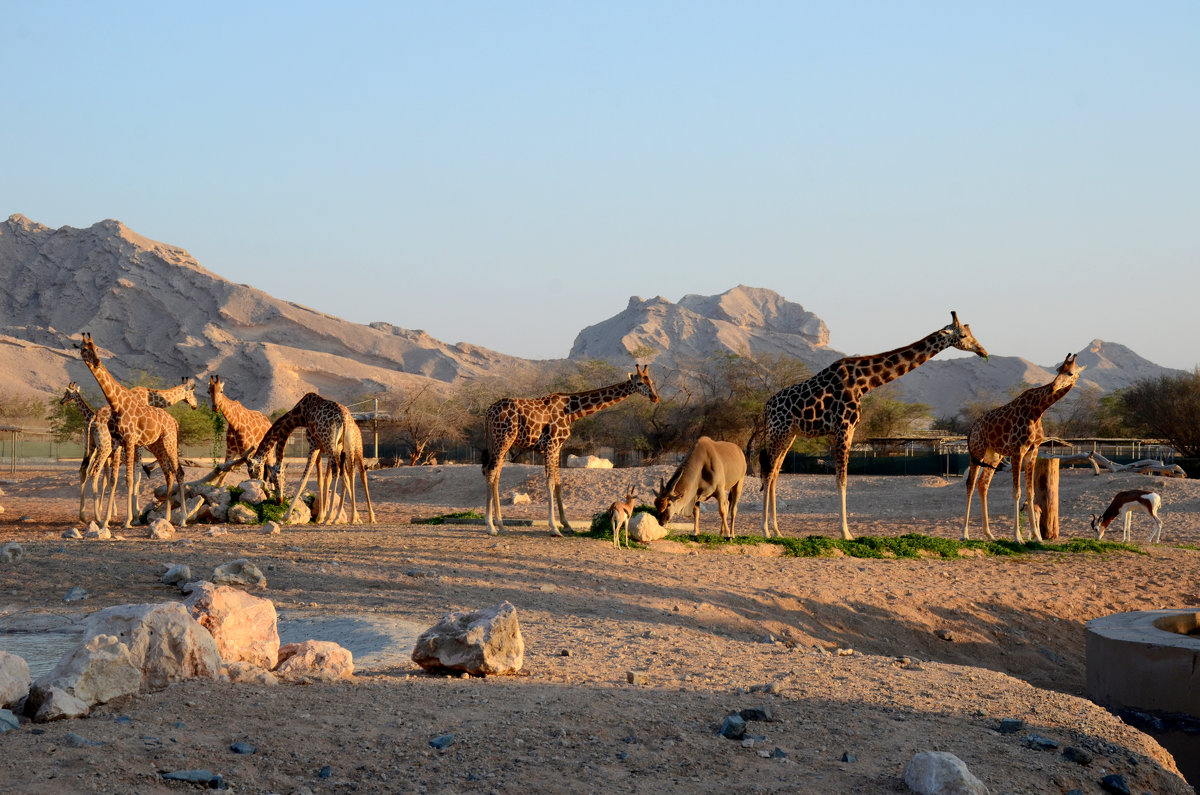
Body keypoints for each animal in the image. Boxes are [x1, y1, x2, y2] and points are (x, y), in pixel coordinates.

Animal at [73, 333, 186, 528]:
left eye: (96, 347)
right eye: (84, 348)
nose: (97, 361)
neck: (116, 404)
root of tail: (174, 421)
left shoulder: (131, 441)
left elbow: (130, 479)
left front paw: (127, 520)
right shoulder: (118, 443)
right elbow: (114, 480)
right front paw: (106, 520)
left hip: (169, 441)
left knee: (179, 472)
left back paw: (184, 519)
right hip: (158, 444)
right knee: (169, 473)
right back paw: (167, 518)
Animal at [482, 365, 662, 535]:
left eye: (651, 382)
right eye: (640, 383)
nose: (655, 397)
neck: (571, 411)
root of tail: (488, 412)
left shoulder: (558, 446)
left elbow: (558, 483)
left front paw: (567, 525)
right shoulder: (551, 444)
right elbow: (550, 482)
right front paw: (554, 527)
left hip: (499, 442)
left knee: (495, 474)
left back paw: (501, 525)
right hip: (503, 439)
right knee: (491, 471)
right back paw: (490, 526)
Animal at [763, 312, 988, 542]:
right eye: (963, 335)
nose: (983, 351)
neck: (864, 383)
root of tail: (767, 407)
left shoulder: (849, 429)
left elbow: (842, 478)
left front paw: (846, 530)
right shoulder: (843, 427)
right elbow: (842, 479)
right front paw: (845, 532)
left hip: (789, 434)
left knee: (775, 474)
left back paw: (777, 530)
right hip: (778, 431)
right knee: (768, 473)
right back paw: (765, 530)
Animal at [964, 353, 1089, 545]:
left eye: (1070, 373)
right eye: (1059, 369)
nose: (1053, 386)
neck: (1038, 410)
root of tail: (973, 427)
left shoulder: (1032, 451)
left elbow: (1030, 493)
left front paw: (1037, 537)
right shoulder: (1017, 450)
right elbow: (1017, 492)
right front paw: (1018, 537)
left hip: (993, 455)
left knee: (982, 484)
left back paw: (989, 534)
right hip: (977, 451)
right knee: (970, 484)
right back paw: (964, 534)